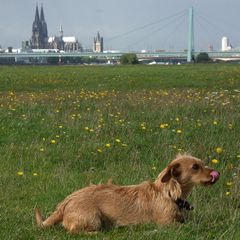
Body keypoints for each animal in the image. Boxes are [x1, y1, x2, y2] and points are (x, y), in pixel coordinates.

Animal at [34, 155, 220, 233]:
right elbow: (189, 225)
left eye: (202, 163)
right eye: (195, 167)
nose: (216, 173)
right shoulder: (167, 224)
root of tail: (65, 204)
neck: (168, 193)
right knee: (73, 231)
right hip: (93, 219)